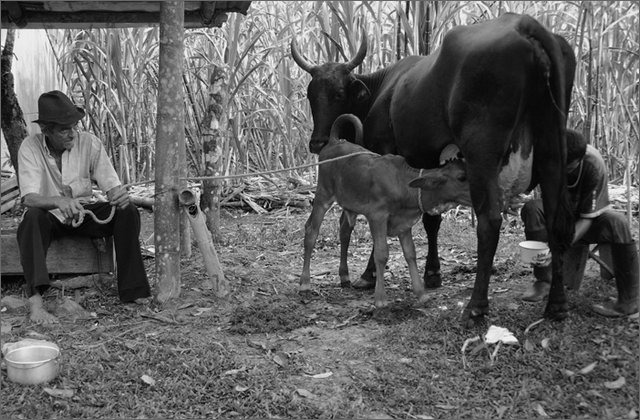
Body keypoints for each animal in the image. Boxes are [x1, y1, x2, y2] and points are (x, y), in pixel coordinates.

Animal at [298, 113, 470, 306]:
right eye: (462, 177)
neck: (402, 182)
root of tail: (336, 141)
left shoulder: (403, 223)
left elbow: (410, 253)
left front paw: (421, 294)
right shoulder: (377, 216)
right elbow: (381, 254)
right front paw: (380, 299)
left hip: (349, 203)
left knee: (344, 230)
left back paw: (344, 276)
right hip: (323, 195)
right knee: (311, 231)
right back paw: (305, 283)